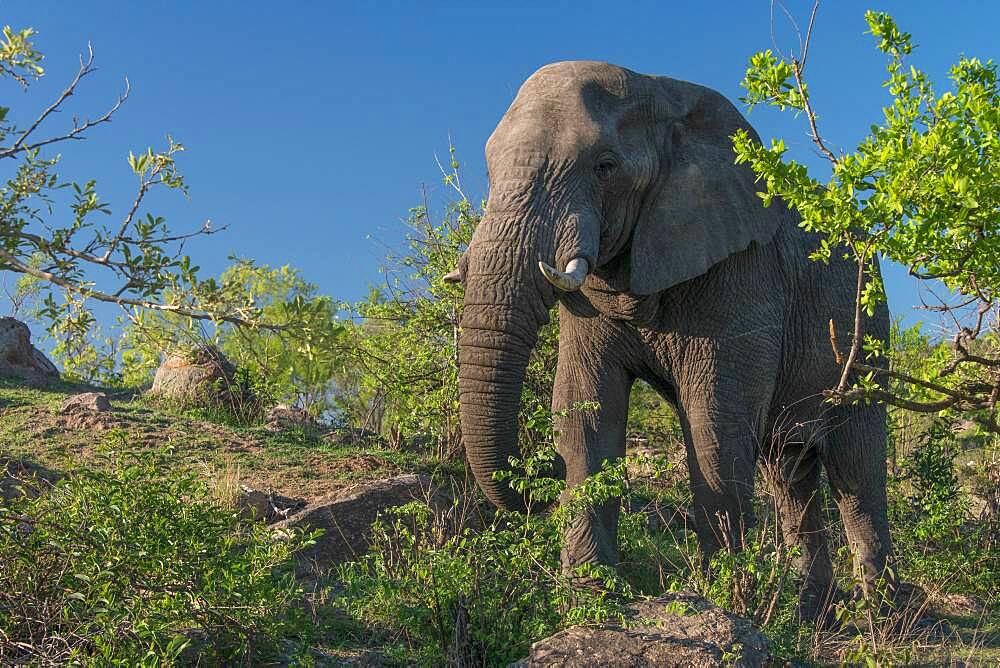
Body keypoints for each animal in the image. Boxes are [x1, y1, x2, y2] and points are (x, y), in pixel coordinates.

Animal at [450, 60, 896, 620]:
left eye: (605, 166)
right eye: (489, 170)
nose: (543, 473)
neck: (660, 94)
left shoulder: (742, 271)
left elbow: (715, 426)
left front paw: (721, 601)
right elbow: (584, 413)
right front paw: (590, 598)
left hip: (868, 333)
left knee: (857, 473)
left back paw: (880, 618)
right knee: (790, 472)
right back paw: (811, 615)